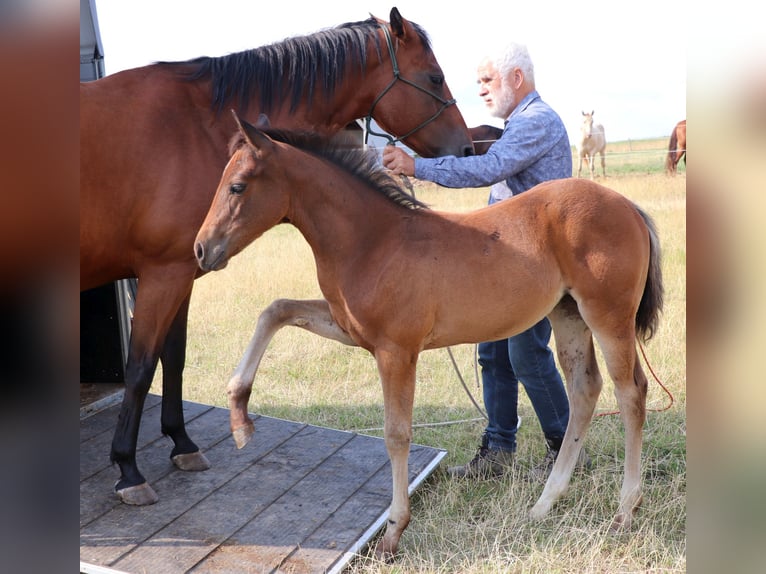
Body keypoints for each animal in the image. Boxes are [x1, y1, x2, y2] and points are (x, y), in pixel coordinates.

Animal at [80, 8, 474, 507]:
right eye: (434, 77)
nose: (467, 148)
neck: (192, 124)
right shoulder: (162, 273)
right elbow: (140, 367)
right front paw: (128, 469)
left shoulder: (181, 272)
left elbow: (175, 358)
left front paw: (181, 443)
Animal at [193, 115, 664, 560]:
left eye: (237, 186)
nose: (201, 249)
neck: (372, 240)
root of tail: (629, 206)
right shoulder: (350, 329)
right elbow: (275, 310)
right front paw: (239, 416)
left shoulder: (397, 351)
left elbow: (397, 433)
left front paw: (393, 532)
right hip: (568, 315)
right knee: (585, 389)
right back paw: (544, 504)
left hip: (607, 316)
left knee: (630, 393)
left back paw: (626, 510)